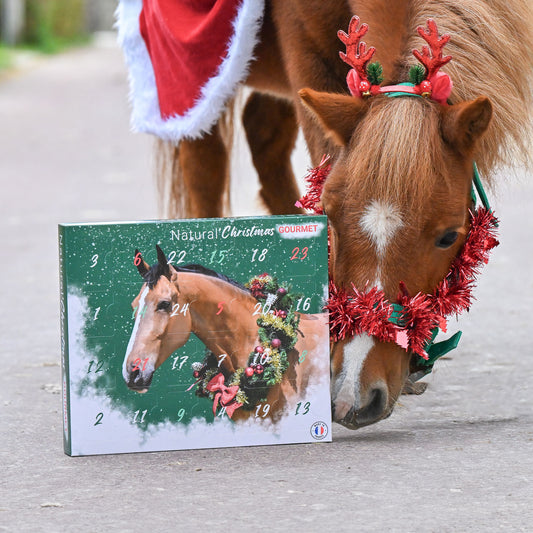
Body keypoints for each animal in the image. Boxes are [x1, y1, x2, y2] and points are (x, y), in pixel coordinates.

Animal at [144, 0, 532, 426]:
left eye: (448, 236)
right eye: (328, 217)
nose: (354, 396)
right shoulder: (306, 47)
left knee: (262, 133)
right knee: (204, 157)